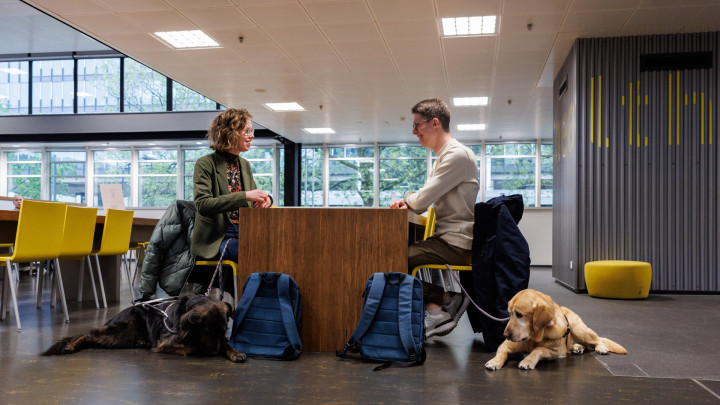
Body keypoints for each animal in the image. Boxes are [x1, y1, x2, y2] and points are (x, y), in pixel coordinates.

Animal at [45, 292, 248, 362]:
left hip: (120, 339)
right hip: (120, 332)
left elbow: (226, 344)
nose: (213, 352)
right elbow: (192, 348)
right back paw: (71, 346)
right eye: (207, 331)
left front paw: (235, 353)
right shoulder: (165, 343)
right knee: (89, 334)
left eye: (222, 331)